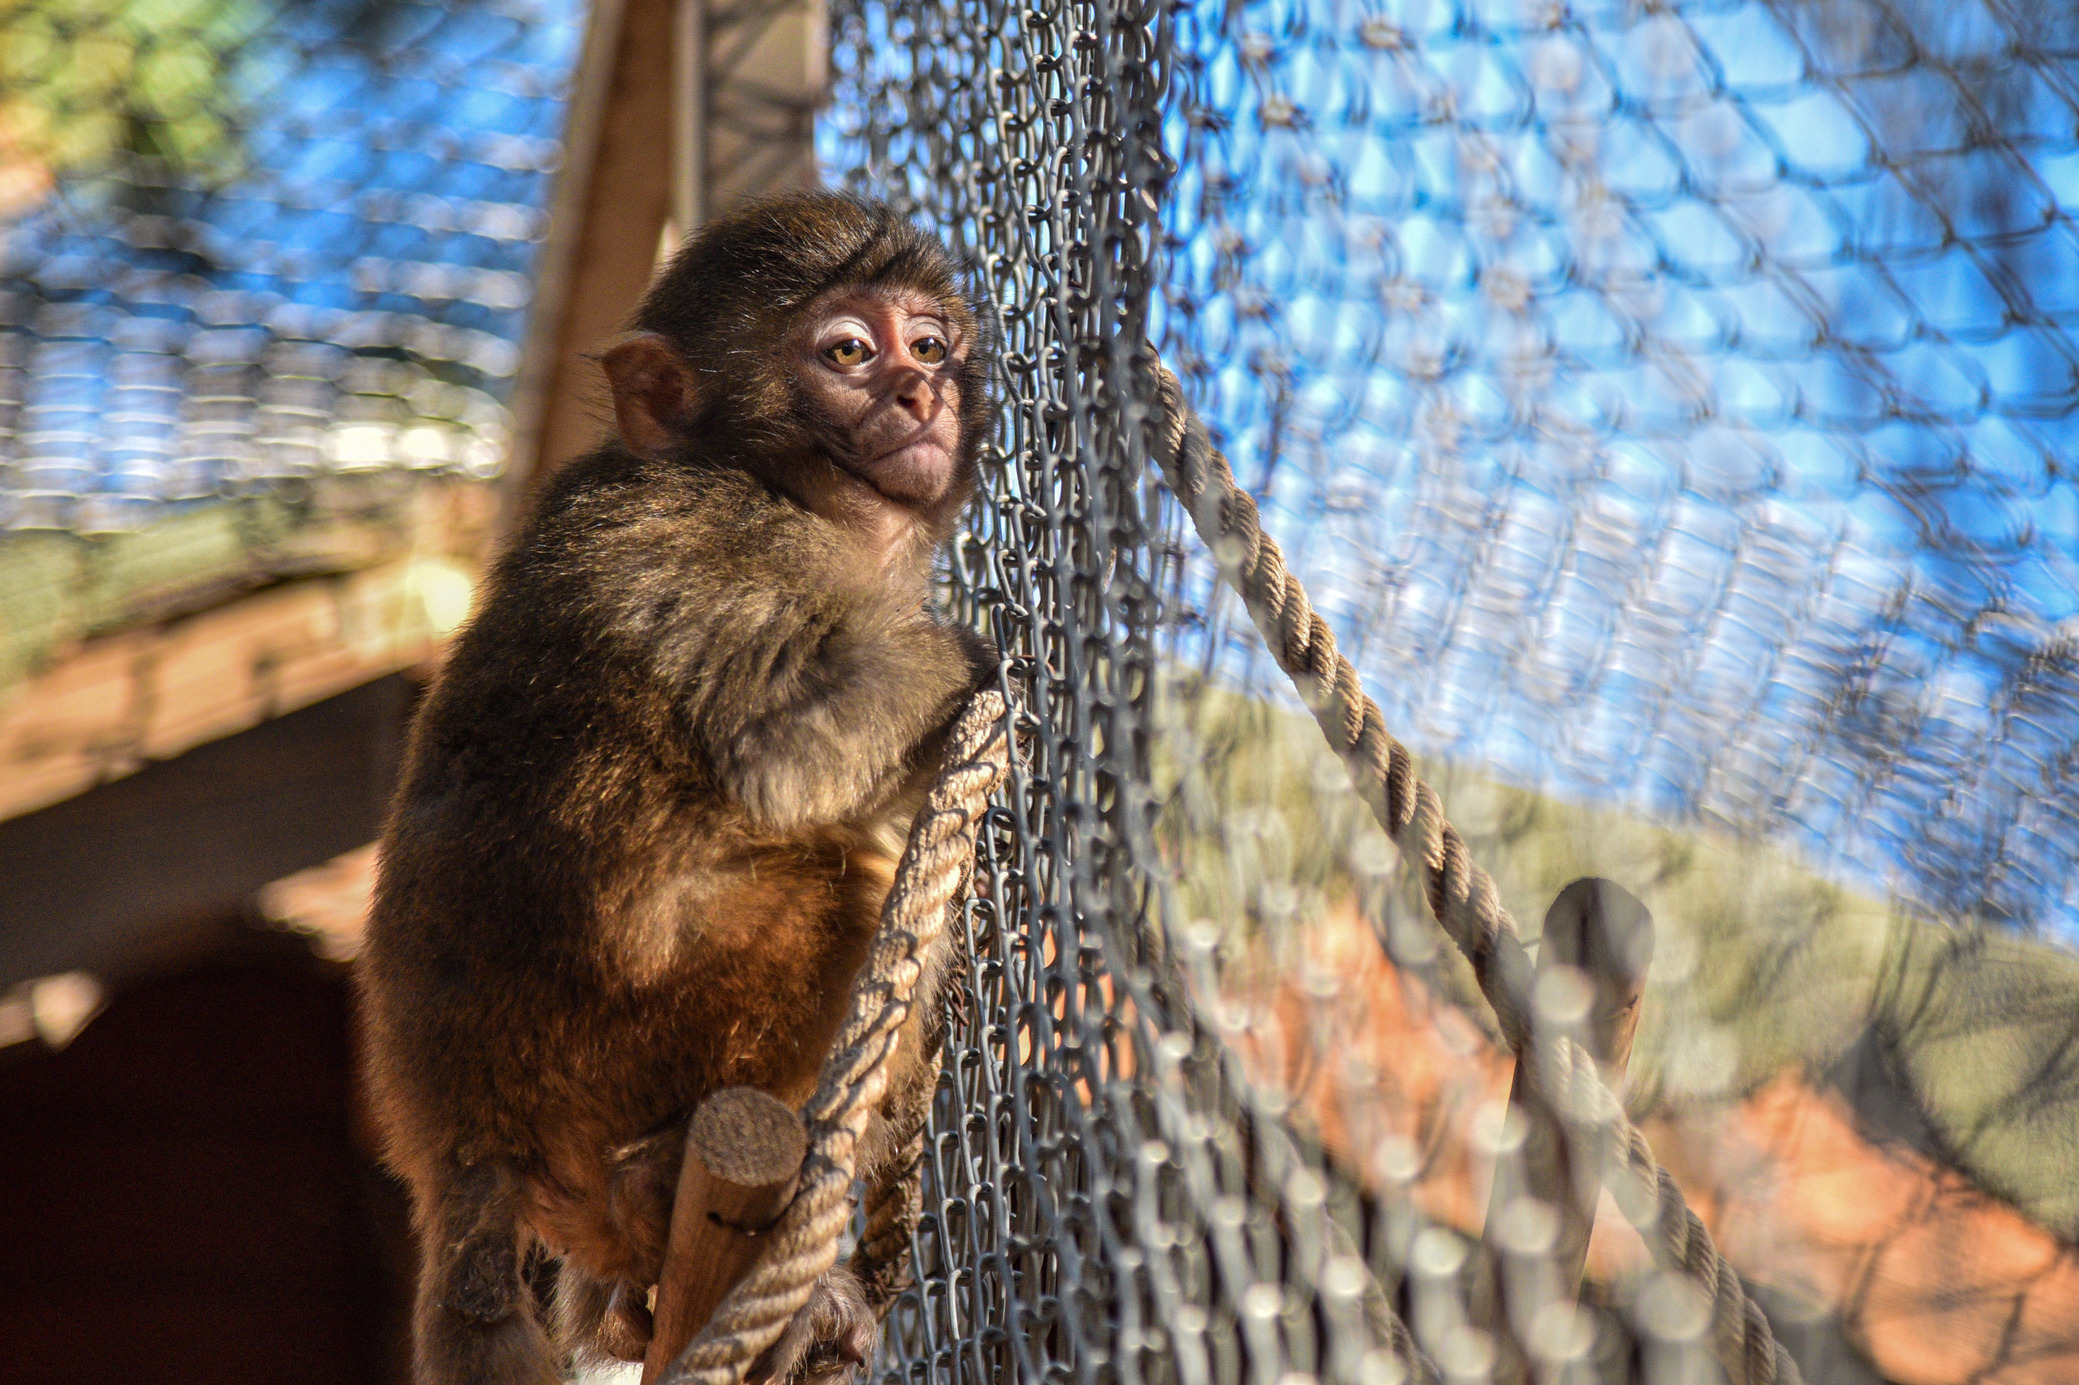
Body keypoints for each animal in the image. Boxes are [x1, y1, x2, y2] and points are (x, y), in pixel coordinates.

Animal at [361, 191, 993, 1380]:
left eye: (930, 344)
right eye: (850, 351)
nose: (919, 392)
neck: (782, 483)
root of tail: (463, 1143)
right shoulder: (721, 537)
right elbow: (791, 741)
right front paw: (984, 663)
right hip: (609, 1041)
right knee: (831, 879)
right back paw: (660, 1187)